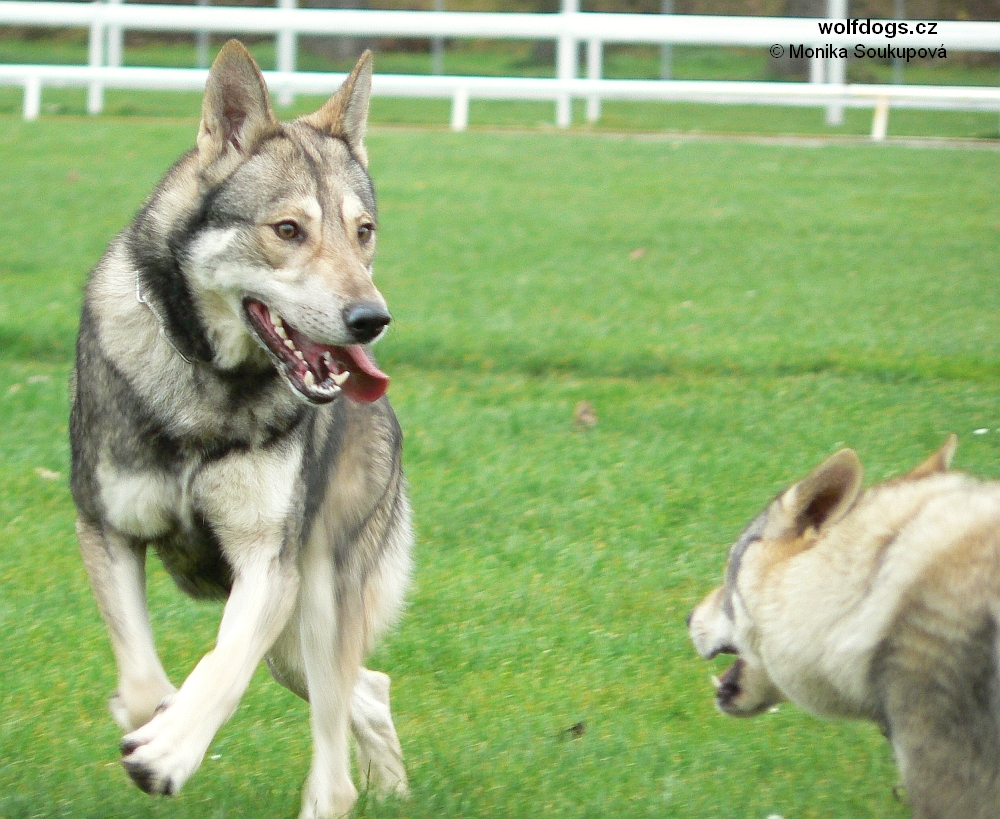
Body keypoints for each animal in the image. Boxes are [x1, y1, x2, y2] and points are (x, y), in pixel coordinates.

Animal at [71, 41, 410, 816]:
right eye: (288, 230)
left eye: (363, 232)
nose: (370, 319)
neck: (209, 386)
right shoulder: (107, 528)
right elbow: (143, 684)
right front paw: (154, 724)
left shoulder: (268, 565)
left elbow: (221, 670)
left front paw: (168, 752)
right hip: (295, 642)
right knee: (366, 689)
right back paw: (393, 786)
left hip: (315, 596)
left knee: (337, 754)